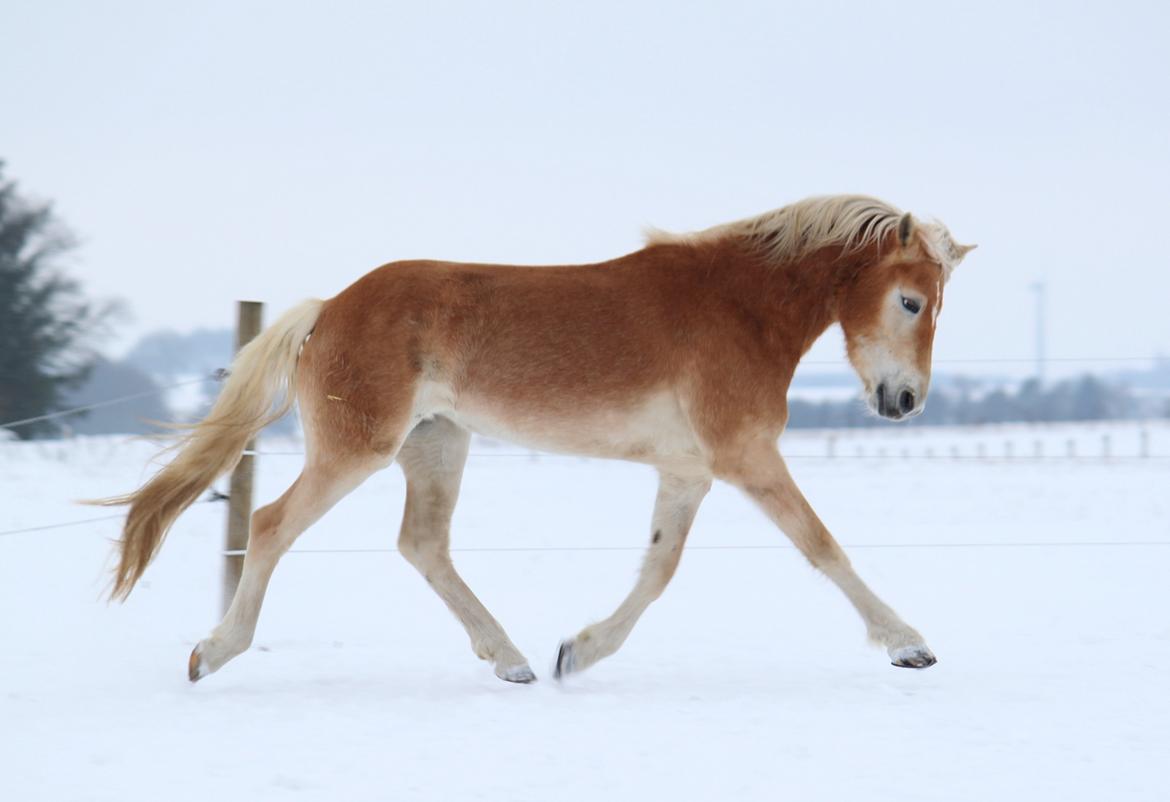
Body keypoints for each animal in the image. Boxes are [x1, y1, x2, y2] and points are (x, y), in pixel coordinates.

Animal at [100, 192, 973, 683]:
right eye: (909, 301)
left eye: (936, 303)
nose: (904, 402)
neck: (740, 309)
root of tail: (329, 308)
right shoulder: (746, 458)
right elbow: (823, 547)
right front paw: (908, 646)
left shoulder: (689, 471)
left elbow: (659, 570)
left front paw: (578, 652)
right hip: (358, 450)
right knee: (272, 524)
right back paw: (212, 653)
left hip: (438, 446)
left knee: (423, 545)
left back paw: (514, 661)